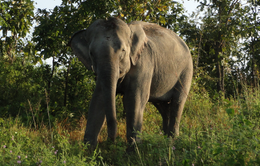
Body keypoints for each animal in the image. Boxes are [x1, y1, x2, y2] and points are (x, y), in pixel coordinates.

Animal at [69, 17, 193, 147]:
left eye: (123, 50)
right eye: (91, 53)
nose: (111, 141)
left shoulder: (144, 64)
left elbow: (134, 98)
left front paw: (134, 149)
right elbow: (98, 99)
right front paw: (88, 150)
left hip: (186, 71)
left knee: (177, 102)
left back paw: (172, 141)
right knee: (163, 107)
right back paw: (165, 140)